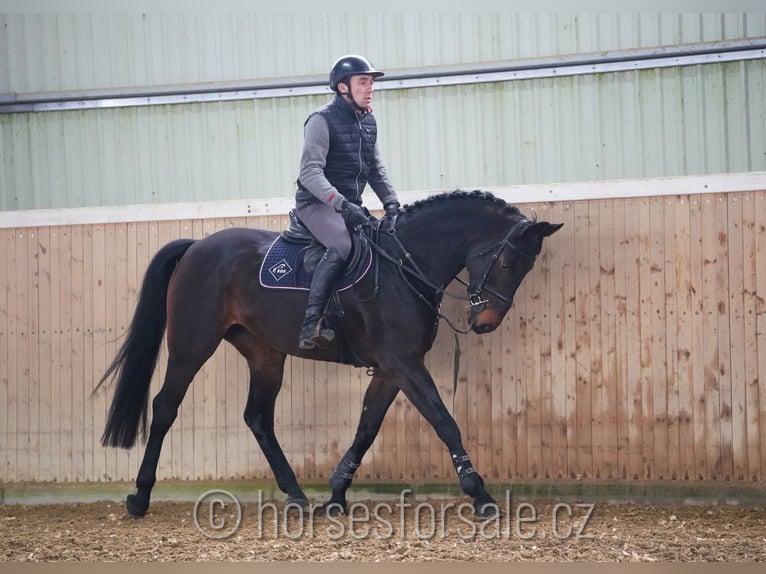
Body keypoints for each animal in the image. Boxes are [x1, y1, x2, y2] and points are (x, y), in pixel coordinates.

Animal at [96, 191, 564, 520]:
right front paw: (480, 495)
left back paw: (297, 496)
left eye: (524, 268)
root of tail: (197, 247)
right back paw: (139, 497)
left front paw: (337, 494)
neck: (402, 267)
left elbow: (366, 428)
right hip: (192, 345)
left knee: (258, 418)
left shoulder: (391, 369)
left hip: (265, 354)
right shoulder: (404, 365)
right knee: (165, 407)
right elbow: (444, 422)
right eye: (508, 263)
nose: (485, 322)